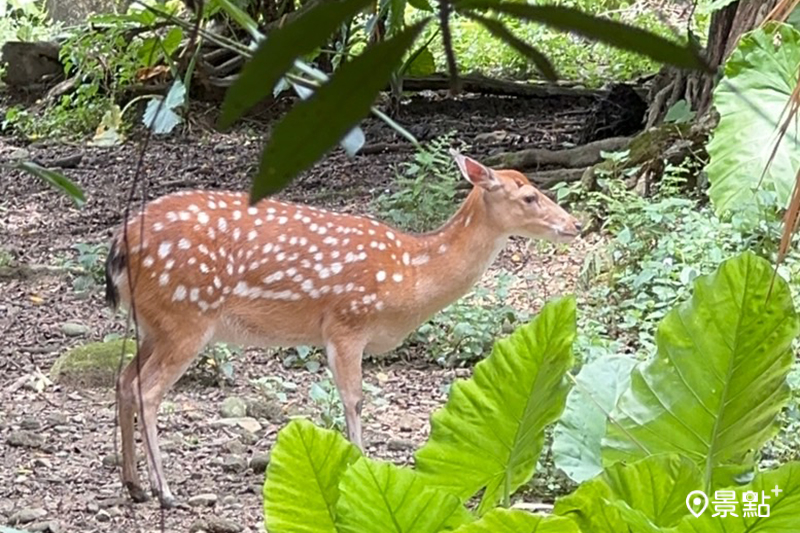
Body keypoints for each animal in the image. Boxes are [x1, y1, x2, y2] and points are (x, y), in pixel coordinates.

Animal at [104, 148, 580, 504]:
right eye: (529, 196)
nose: (574, 224)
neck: (410, 275)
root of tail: (119, 245)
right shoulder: (347, 320)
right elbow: (354, 399)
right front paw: (360, 466)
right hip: (187, 314)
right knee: (146, 388)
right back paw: (165, 492)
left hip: (154, 324)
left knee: (124, 379)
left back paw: (134, 485)